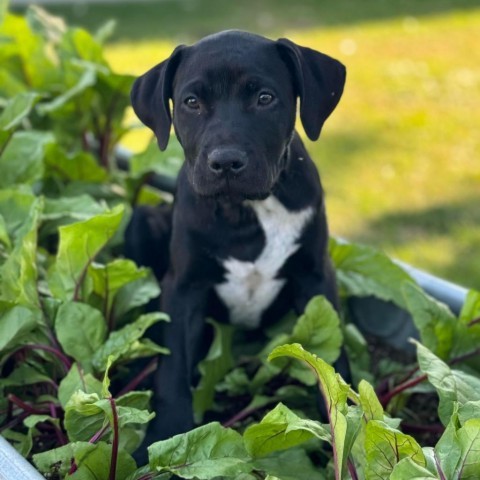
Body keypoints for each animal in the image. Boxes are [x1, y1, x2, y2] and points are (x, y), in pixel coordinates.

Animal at [125, 29, 346, 442]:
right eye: (191, 102)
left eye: (265, 98)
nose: (226, 161)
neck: (245, 209)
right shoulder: (183, 288)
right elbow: (173, 365)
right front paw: (166, 435)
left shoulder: (316, 278)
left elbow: (333, 358)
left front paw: (351, 427)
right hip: (142, 221)